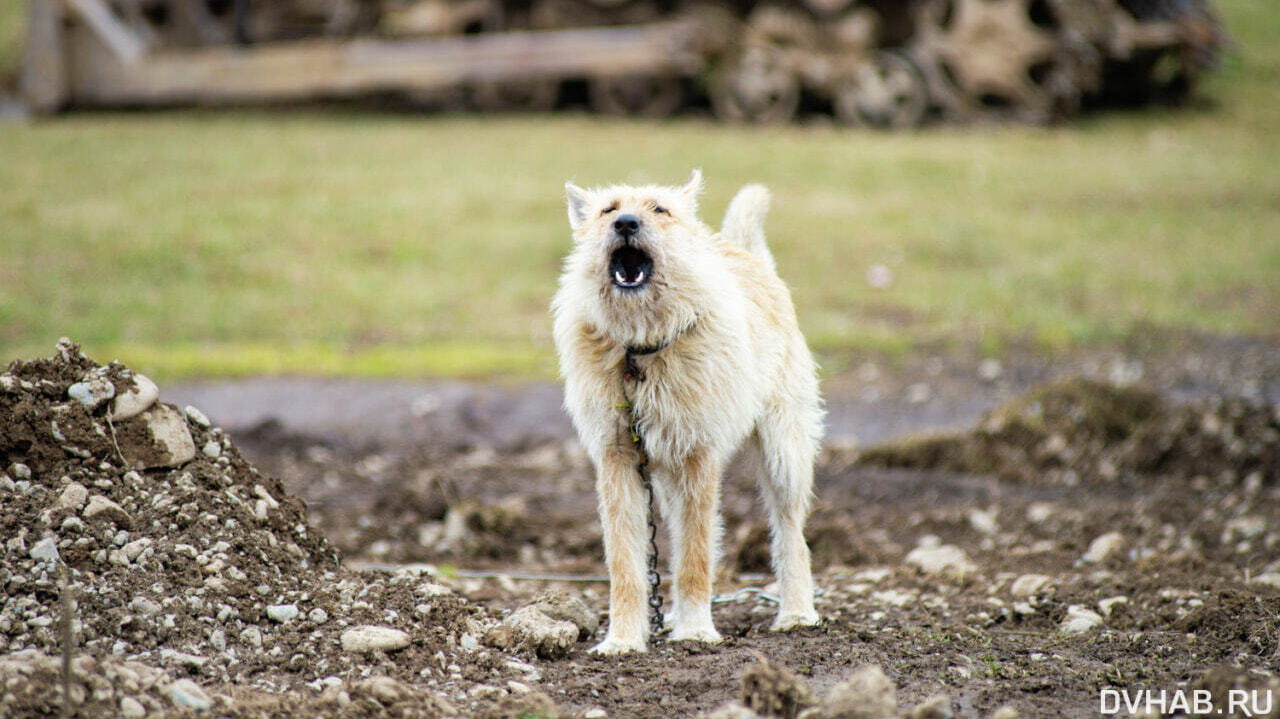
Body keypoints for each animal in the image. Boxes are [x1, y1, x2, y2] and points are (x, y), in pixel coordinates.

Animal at [555, 170, 824, 652]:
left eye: (659, 209)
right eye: (608, 209)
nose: (625, 223)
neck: (640, 350)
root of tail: (747, 254)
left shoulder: (699, 456)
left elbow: (697, 556)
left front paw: (696, 631)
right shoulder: (617, 461)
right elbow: (625, 565)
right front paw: (623, 639)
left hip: (784, 455)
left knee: (790, 532)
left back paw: (796, 614)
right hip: (665, 483)